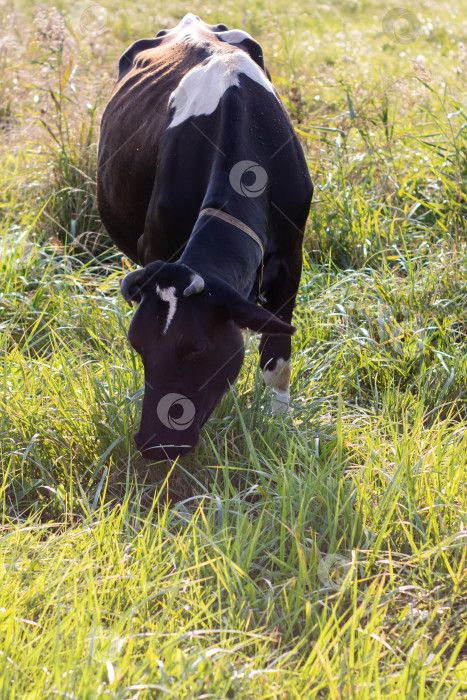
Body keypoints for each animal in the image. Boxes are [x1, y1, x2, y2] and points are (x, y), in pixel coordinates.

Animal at [97, 13, 312, 460]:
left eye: (195, 349)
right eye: (138, 346)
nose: (154, 444)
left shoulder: (291, 258)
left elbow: (277, 360)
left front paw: (277, 423)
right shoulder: (156, 249)